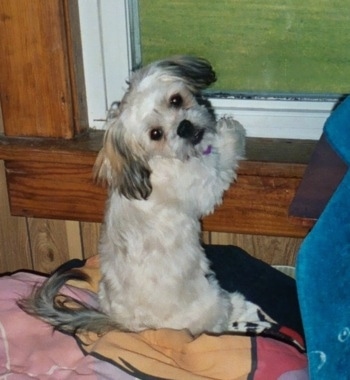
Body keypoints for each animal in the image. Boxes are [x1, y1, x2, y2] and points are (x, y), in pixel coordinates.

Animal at [19, 55, 270, 336]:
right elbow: (222, 159)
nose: (184, 127)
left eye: (176, 100)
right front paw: (230, 133)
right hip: (212, 300)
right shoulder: (206, 185)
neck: (161, 160)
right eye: (156, 134)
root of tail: (127, 327)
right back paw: (238, 306)